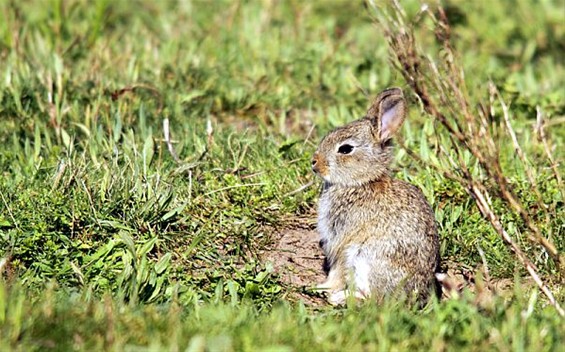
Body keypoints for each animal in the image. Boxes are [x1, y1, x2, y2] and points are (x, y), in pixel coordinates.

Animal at [310, 87, 438, 306]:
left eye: (345, 149)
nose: (314, 162)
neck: (361, 182)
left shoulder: (342, 242)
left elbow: (337, 270)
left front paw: (322, 288)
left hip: (366, 259)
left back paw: (340, 298)